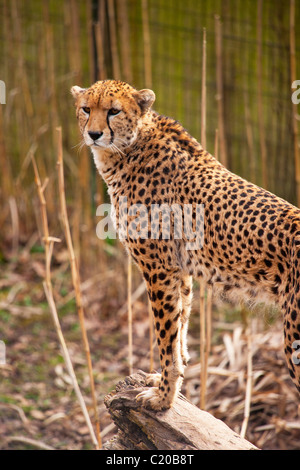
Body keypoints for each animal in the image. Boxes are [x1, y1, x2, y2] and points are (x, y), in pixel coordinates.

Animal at [72, 79, 300, 410]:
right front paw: (168, 385)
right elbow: (180, 330)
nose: (94, 134)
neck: (128, 148)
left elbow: (166, 337)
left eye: (113, 111)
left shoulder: (159, 269)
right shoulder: (179, 271)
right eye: (86, 109)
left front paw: (163, 398)